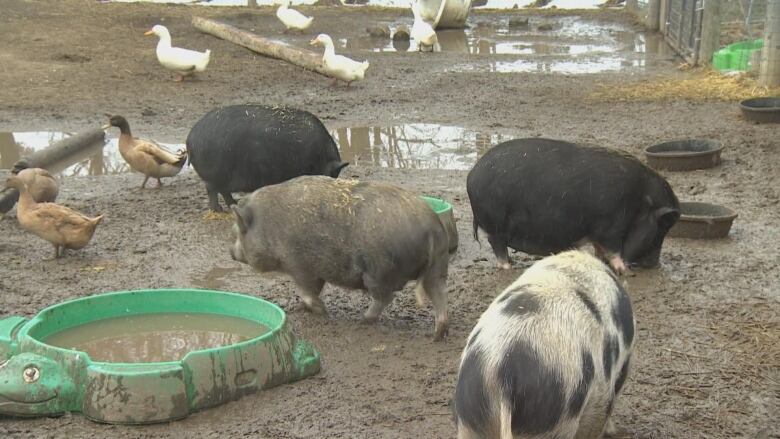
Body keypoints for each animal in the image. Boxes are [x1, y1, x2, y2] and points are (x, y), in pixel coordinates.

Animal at [186, 105, 348, 211]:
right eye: (330, 176)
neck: (319, 158)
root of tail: (190, 139)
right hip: (215, 176)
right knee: (212, 190)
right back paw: (219, 210)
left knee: (223, 191)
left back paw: (234, 204)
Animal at [230, 175, 450, 340]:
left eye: (238, 232)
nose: (231, 253)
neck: (267, 227)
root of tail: (431, 227)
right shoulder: (315, 270)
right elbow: (315, 289)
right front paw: (302, 308)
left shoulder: (299, 266)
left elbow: (307, 291)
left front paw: (321, 312)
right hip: (437, 266)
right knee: (439, 294)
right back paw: (437, 335)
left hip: (380, 272)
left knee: (386, 297)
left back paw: (363, 320)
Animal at [466, 138, 680, 276]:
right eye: (662, 228)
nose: (654, 265)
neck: (640, 200)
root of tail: (472, 174)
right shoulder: (610, 225)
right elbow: (614, 249)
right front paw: (623, 271)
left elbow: (600, 247)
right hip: (496, 224)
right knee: (496, 244)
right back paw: (509, 267)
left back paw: (512, 262)